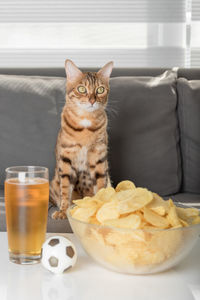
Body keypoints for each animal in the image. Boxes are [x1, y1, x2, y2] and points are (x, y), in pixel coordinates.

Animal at [49, 59, 113, 219]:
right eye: (82, 89)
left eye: (100, 90)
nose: (92, 100)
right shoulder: (66, 157)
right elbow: (65, 188)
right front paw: (63, 211)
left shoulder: (99, 157)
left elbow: (101, 185)